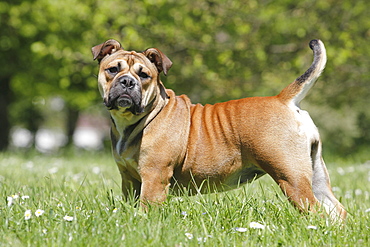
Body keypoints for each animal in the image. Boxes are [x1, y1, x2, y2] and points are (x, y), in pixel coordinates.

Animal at [91, 38, 346, 220]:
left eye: (144, 75)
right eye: (112, 70)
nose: (127, 82)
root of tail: (283, 100)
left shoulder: (153, 178)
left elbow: (147, 209)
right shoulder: (129, 179)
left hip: (291, 177)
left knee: (316, 211)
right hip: (314, 175)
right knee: (336, 211)